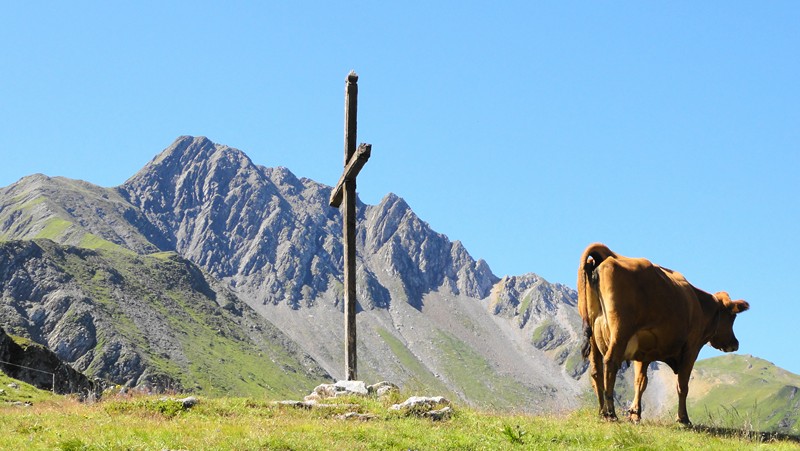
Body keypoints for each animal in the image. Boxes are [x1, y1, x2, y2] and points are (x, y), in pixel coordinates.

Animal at [580, 242, 748, 426]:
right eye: (732, 317)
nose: (735, 343)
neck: (700, 305)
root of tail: (607, 257)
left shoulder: (643, 353)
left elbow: (641, 382)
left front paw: (635, 414)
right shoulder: (691, 348)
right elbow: (682, 385)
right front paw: (683, 418)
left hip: (594, 336)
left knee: (596, 371)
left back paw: (601, 411)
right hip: (620, 330)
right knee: (610, 362)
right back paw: (610, 412)